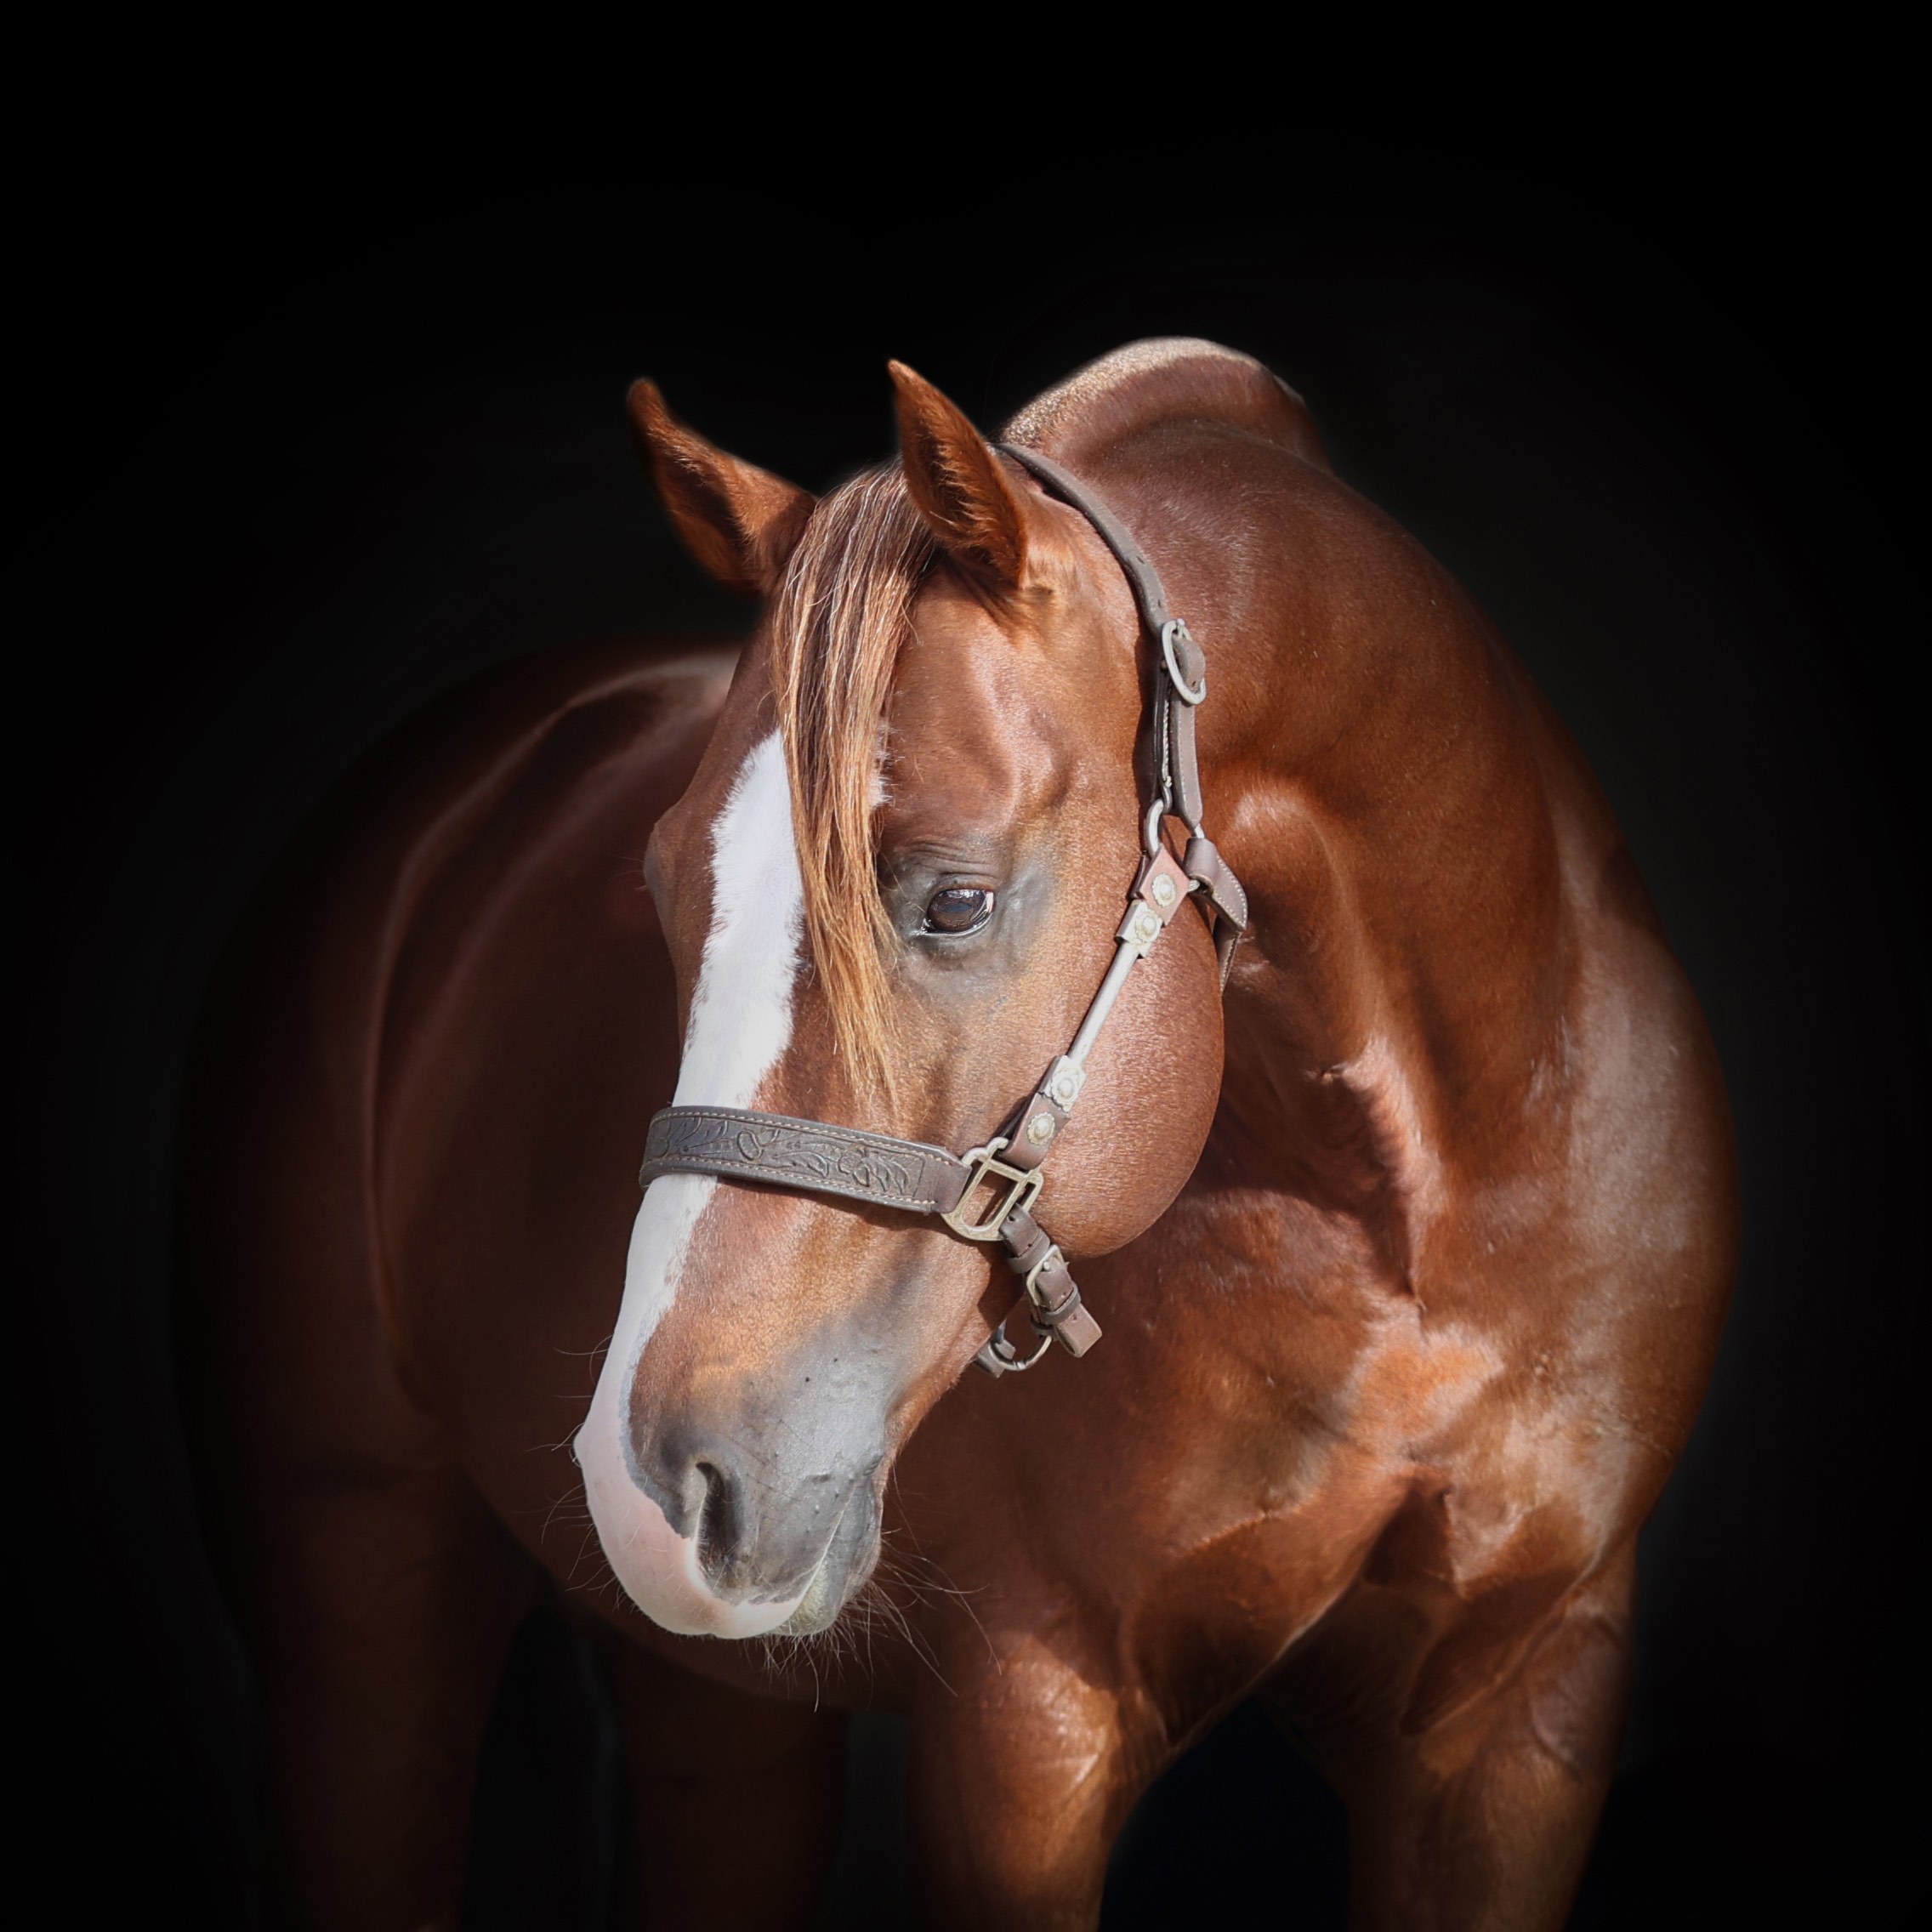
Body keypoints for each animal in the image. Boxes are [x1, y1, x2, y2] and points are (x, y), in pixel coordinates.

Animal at [176, 337, 1738, 1929]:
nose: (651, 1477)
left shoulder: (1521, 1707)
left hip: (716, 1709)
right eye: (665, 890)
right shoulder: (1027, 1722)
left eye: (957, 899)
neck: (1412, 1231)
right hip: (357, 1588)